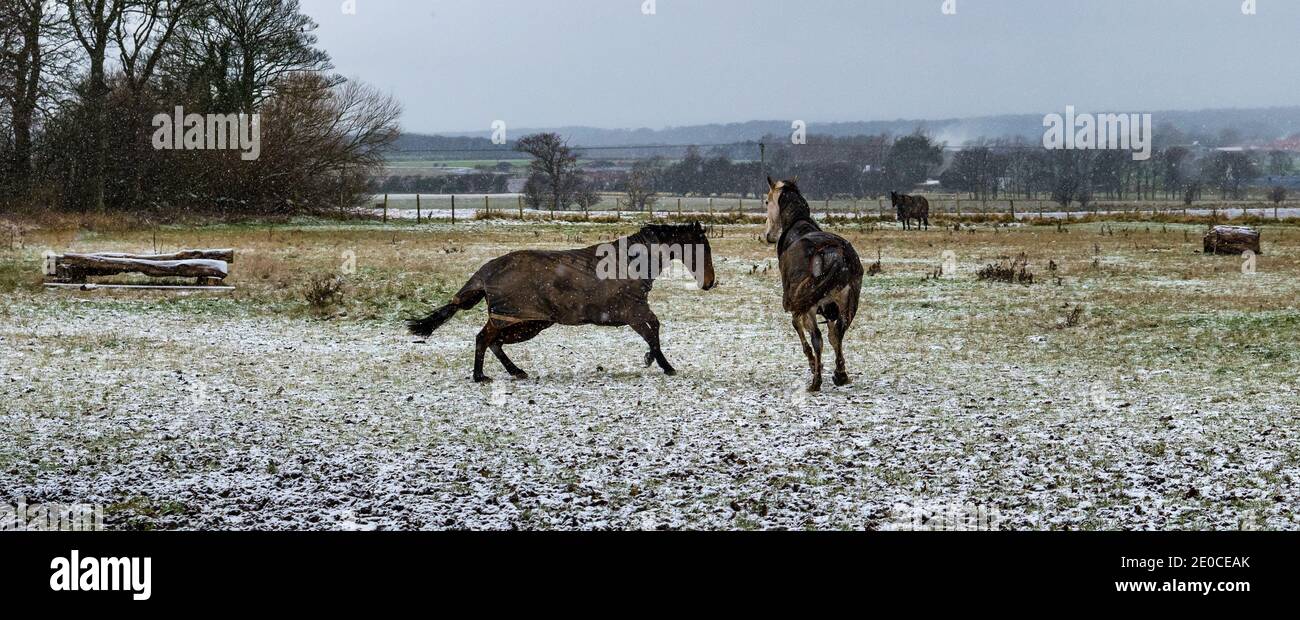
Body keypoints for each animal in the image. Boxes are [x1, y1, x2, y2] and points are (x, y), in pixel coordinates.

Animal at [408, 223, 717, 382]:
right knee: (483, 338)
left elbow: (654, 330)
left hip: (527, 323)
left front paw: (653, 359)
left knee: (494, 342)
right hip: (514, 318)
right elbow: (652, 331)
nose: (710, 282)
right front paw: (662, 363)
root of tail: (484, 272)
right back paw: (480, 375)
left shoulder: (634, 311)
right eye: (702, 248)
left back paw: (516, 371)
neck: (632, 263)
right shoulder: (633, 311)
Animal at [764, 178, 864, 392]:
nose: (768, 234)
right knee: (837, 333)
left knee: (818, 338)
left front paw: (812, 363)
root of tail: (834, 253)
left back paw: (816, 381)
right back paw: (840, 374)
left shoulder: (798, 303)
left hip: (808, 305)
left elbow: (798, 327)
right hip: (848, 303)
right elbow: (833, 335)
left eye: (767, 202)